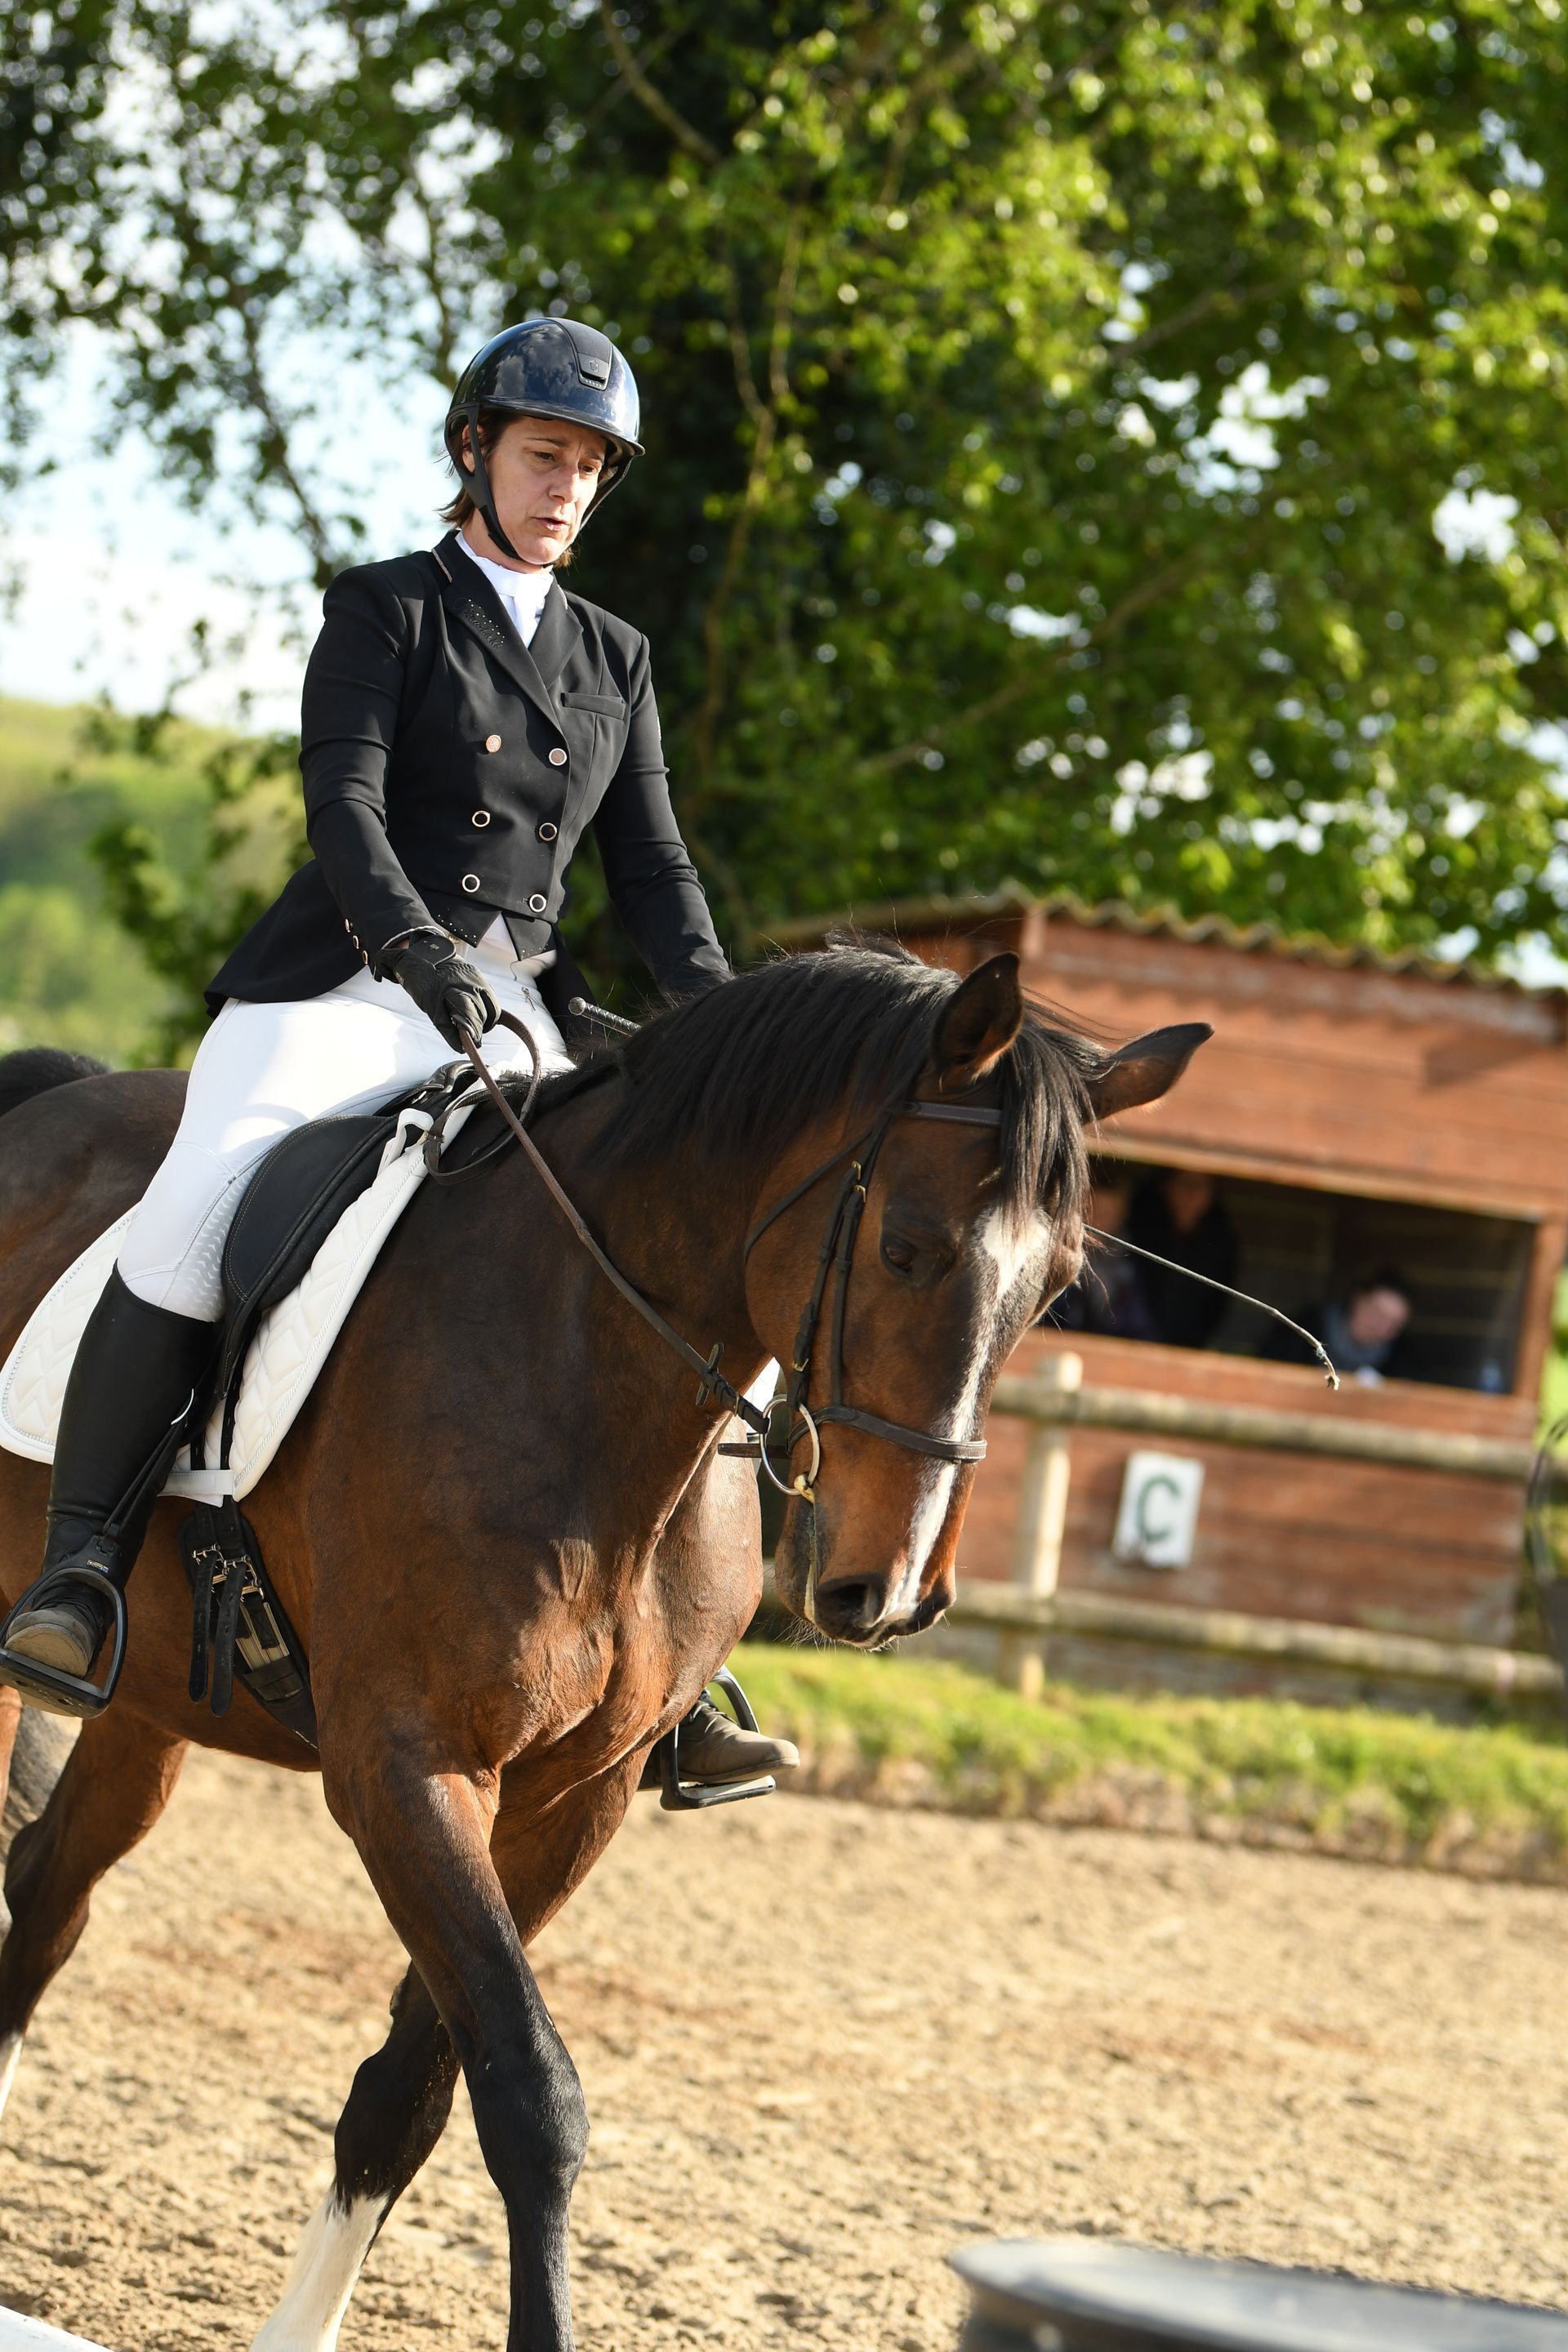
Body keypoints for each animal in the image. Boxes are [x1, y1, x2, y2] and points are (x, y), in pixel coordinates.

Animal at [0, 942, 1206, 2350]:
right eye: (908, 1249)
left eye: (1055, 1290)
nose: (893, 1591)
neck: (593, 1373)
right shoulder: (404, 1770)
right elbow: (532, 2097)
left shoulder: (577, 1796)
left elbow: (412, 2092)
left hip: (149, 1707)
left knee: (49, 1899)